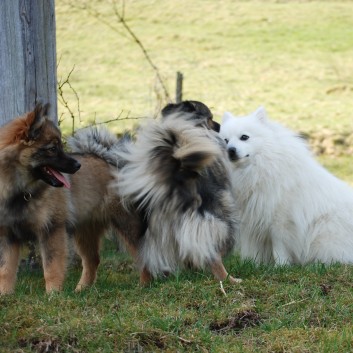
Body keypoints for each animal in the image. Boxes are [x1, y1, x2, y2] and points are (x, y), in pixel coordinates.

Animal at [0, 103, 80, 292]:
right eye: (52, 149)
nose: (78, 165)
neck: (20, 191)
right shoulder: (8, 234)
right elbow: (6, 269)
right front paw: (5, 293)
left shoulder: (51, 229)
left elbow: (52, 267)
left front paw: (54, 293)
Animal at [220, 107, 353, 264]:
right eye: (225, 140)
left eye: (244, 137)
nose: (230, 150)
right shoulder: (252, 220)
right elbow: (255, 247)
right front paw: (255, 264)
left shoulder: (281, 221)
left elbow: (280, 246)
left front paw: (281, 265)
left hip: (323, 235)